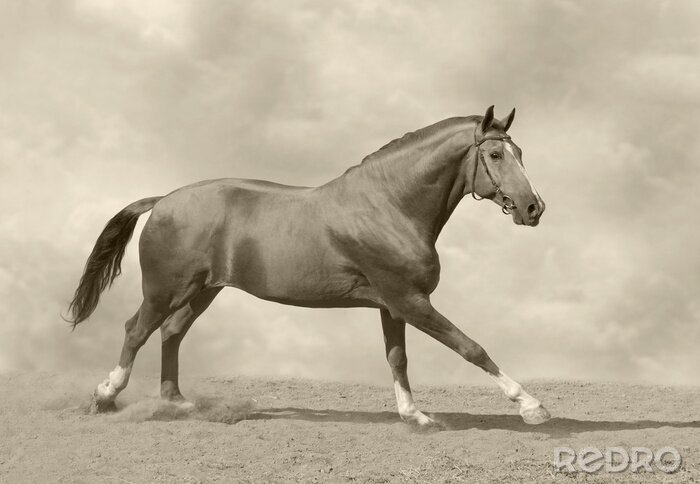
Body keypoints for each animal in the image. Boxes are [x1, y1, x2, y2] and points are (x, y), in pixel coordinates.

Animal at [66, 105, 549, 425]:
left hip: (203, 291)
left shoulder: (393, 305)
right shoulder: (410, 301)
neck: (390, 206)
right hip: (165, 289)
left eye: (522, 152)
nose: (533, 208)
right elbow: (471, 347)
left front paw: (415, 415)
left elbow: (397, 358)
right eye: (496, 156)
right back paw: (104, 397)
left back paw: (177, 402)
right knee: (136, 330)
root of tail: (164, 200)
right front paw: (531, 405)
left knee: (171, 333)